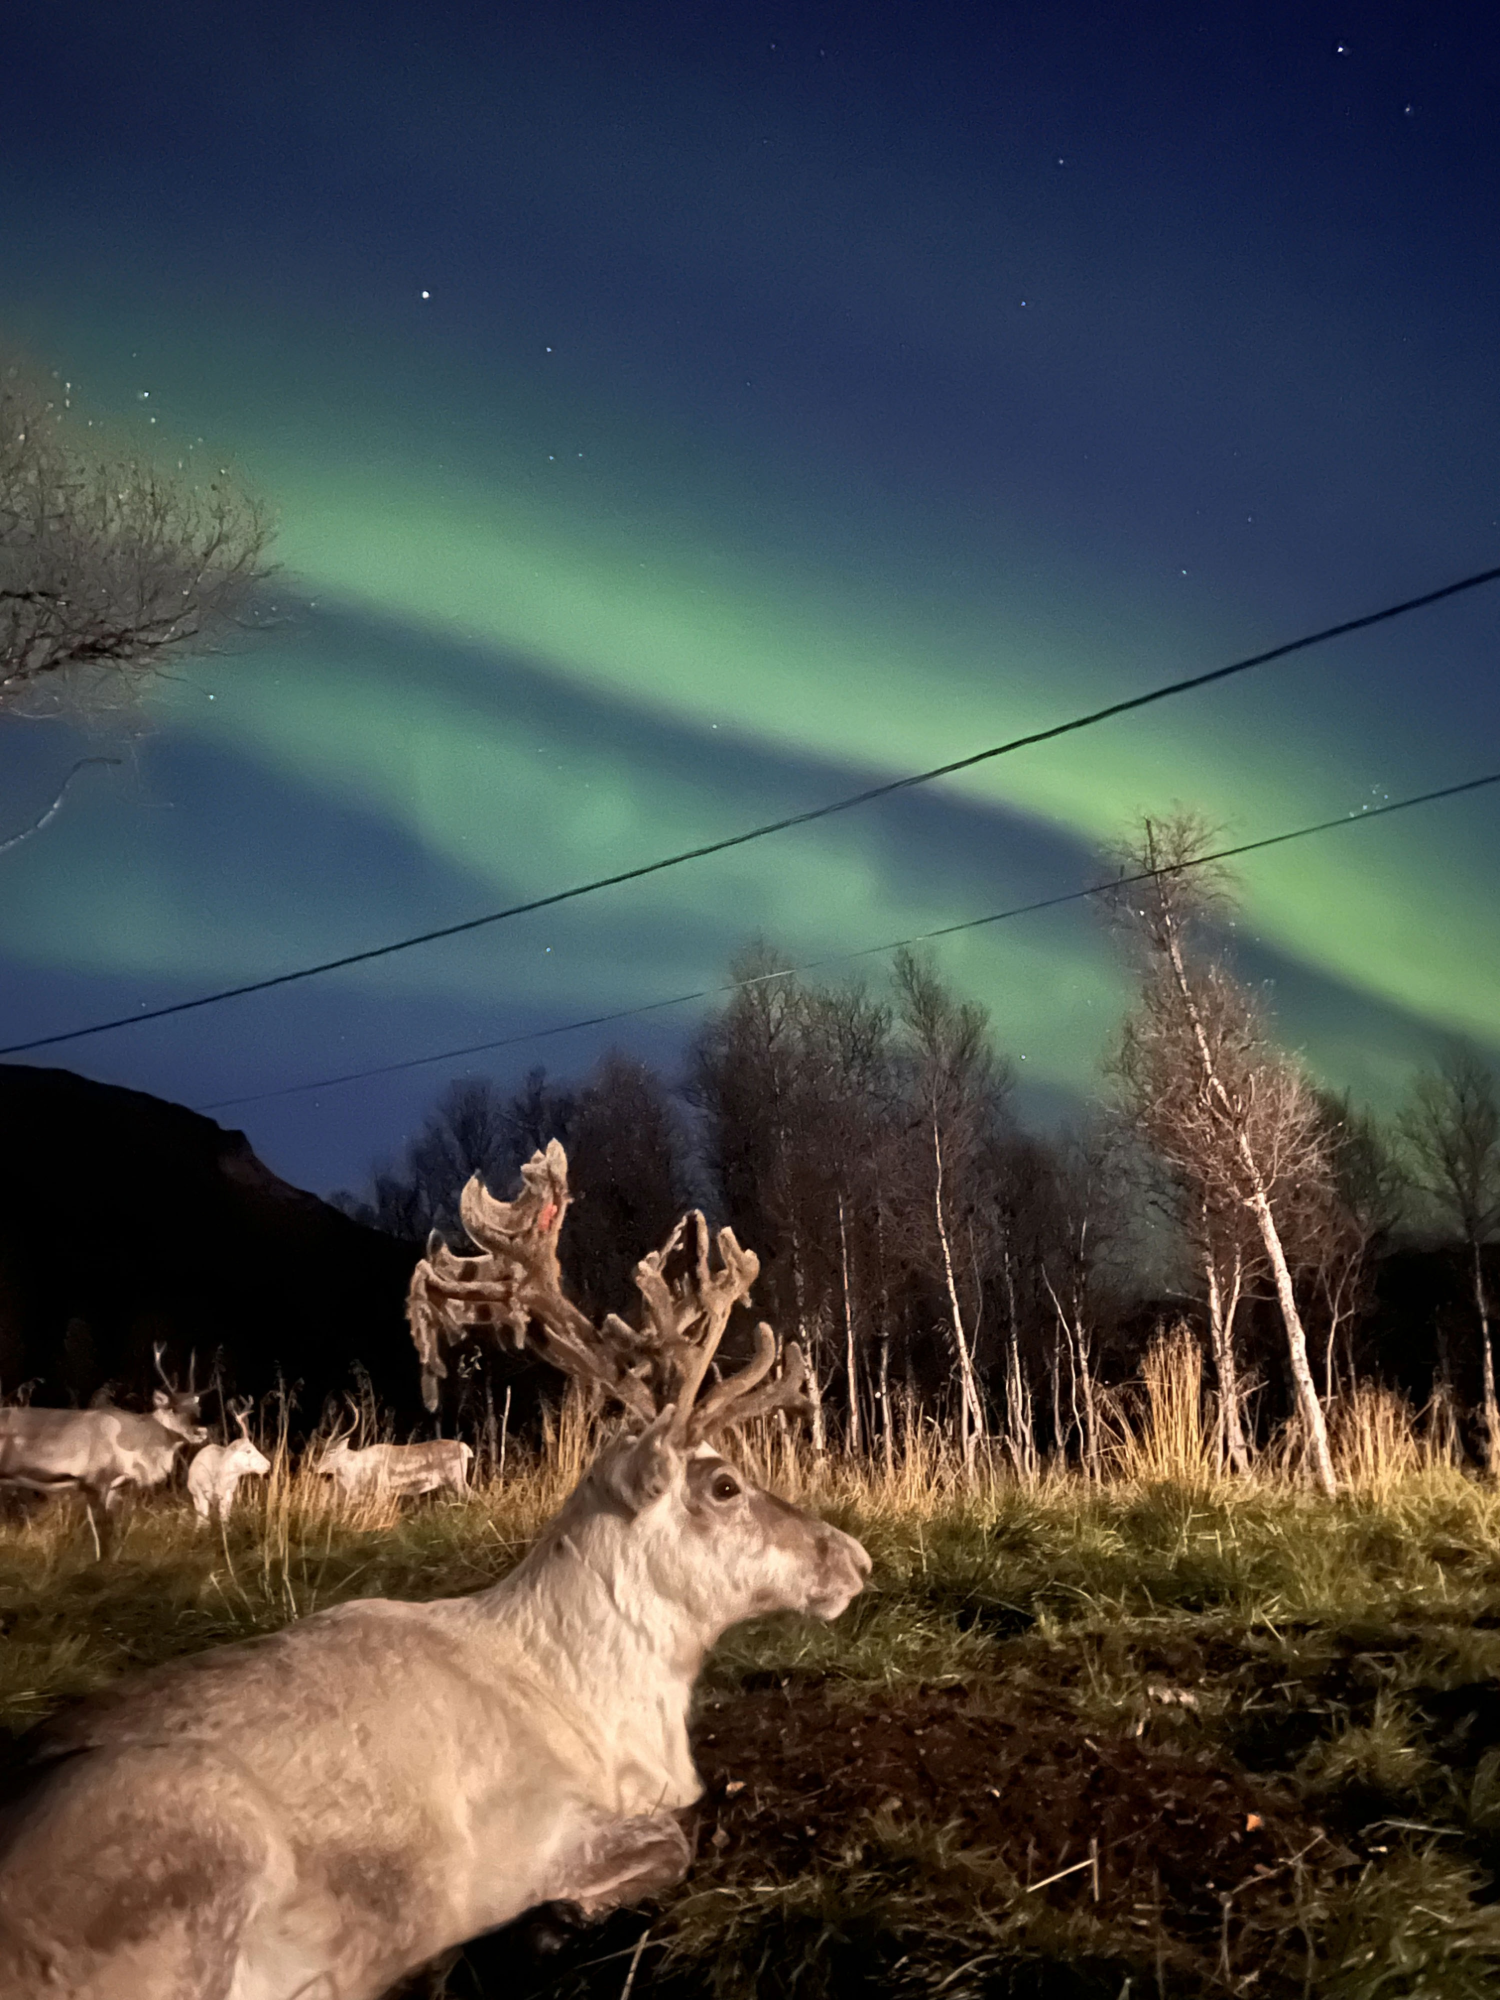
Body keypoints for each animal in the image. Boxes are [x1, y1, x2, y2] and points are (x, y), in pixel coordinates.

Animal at [0, 1143, 870, 2000]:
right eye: (723, 1484)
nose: (854, 1558)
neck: (607, 1707)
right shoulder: (528, 1837)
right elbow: (671, 1841)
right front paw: (554, 1922)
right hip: (195, 1833)